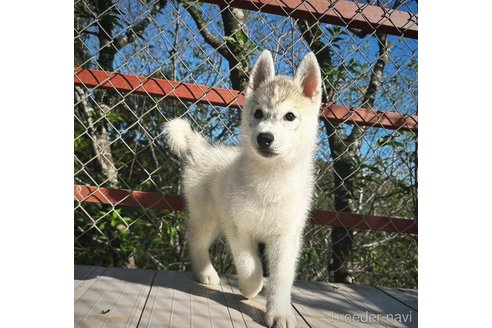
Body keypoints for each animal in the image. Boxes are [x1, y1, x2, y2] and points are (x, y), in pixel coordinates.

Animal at [163, 50, 320, 326]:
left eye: (290, 116)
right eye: (258, 113)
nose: (264, 138)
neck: (270, 180)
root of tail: (202, 149)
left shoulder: (286, 236)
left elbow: (281, 278)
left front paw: (279, 313)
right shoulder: (238, 229)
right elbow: (250, 266)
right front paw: (251, 289)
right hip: (208, 218)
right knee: (195, 239)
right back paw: (205, 272)